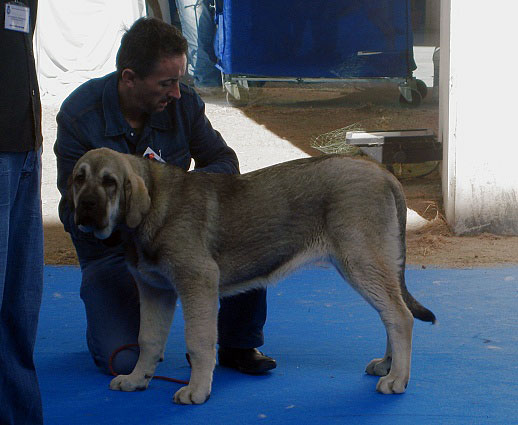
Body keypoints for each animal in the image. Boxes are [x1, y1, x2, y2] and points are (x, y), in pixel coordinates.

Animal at [69, 148, 434, 404]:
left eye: (110, 182)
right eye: (78, 178)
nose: (85, 206)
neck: (154, 204)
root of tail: (382, 172)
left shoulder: (197, 283)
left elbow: (199, 342)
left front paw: (197, 390)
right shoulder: (154, 290)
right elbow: (148, 340)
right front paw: (136, 379)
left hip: (361, 262)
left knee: (400, 316)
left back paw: (397, 379)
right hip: (372, 266)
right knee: (391, 315)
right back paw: (388, 366)